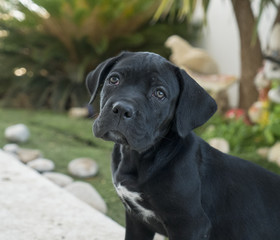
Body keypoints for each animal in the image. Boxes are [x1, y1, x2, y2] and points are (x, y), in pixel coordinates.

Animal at [86, 51, 280, 239]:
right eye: (114, 79)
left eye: (159, 94)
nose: (122, 109)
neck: (138, 157)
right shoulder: (137, 220)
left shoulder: (190, 224)